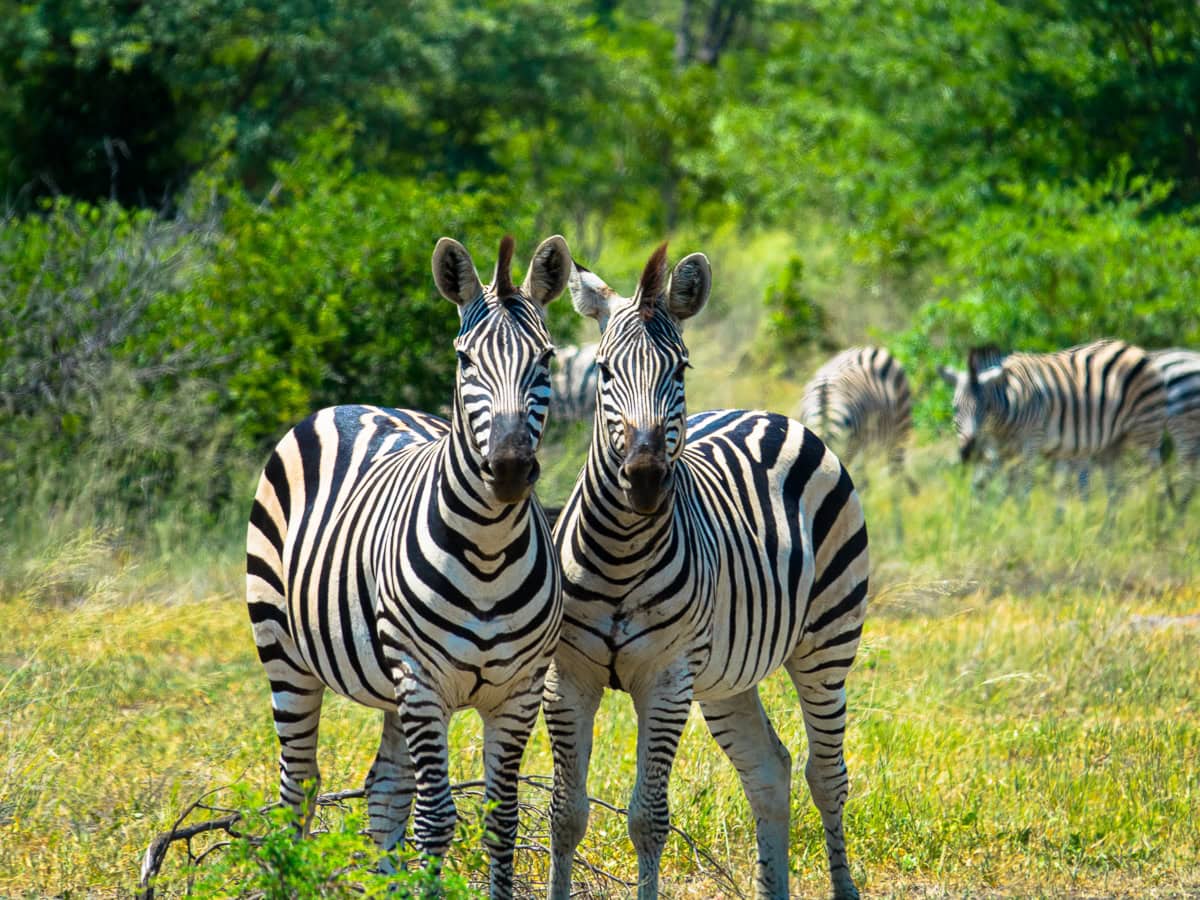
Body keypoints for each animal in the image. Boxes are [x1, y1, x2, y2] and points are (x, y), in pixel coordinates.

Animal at [244, 234, 571, 900]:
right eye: (466, 362)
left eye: (546, 359)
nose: (508, 468)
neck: (489, 550)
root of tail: (348, 405)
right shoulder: (422, 680)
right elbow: (437, 819)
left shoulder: (519, 690)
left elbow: (501, 818)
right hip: (284, 650)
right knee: (300, 783)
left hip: (391, 682)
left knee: (384, 790)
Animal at [547, 244, 873, 900]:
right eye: (604, 372)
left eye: (680, 370)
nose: (646, 478)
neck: (619, 553)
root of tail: (767, 414)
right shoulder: (567, 678)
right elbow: (566, 812)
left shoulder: (667, 679)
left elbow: (648, 818)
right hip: (726, 676)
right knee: (769, 768)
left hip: (827, 643)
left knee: (826, 776)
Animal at [931, 340, 1166, 504]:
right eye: (955, 408)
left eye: (984, 409)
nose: (968, 452)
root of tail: (1132, 347)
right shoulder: (1002, 451)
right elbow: (987, 485)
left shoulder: (1030, 443)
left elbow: (1023, 487)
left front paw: (1020, 521)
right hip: (1113, 440)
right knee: (1114, 488)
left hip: (1146, 428)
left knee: (1156, 478)